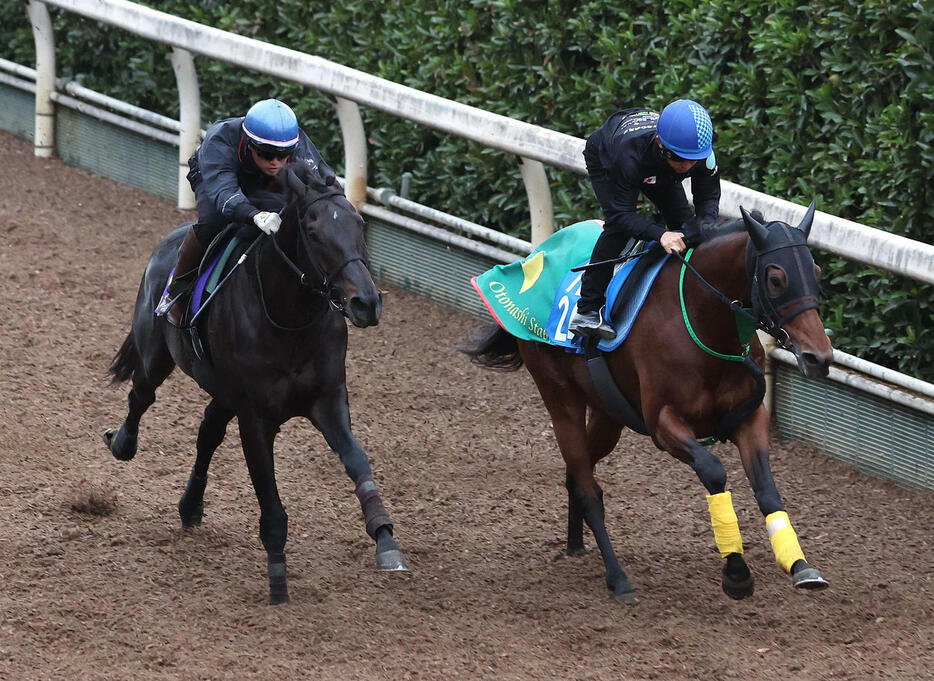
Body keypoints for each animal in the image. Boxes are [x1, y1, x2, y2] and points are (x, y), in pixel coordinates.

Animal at [104, 161, 408, 604]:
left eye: (359, 224)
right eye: (313, 232)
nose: (366, 302)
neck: (291, 319)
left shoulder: (328, 397)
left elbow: (357, 461)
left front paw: (385, 539)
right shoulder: (256, 417)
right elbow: (271, 500)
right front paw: (277, 582)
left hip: (223, 390)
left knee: (208, 431)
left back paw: (190, 505)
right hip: (156, 355)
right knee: (141, 395)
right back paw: (122, 442)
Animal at [468, 203, 832, 600]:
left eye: (815, 271)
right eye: (776, 278)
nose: (818, 357)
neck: (701, 321)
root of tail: (534, 255)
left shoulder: (748, 418)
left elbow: (767, 489)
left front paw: (799, 565)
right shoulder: (663, 423)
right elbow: (714, 471)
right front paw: (736, 572)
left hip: (608, 414)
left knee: (578, 474)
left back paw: (575, 543)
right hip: (560, 398)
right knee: (585, 483)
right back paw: (618, 579)